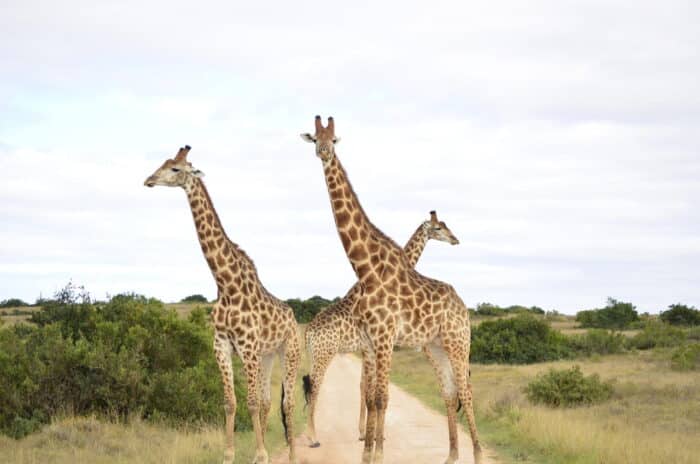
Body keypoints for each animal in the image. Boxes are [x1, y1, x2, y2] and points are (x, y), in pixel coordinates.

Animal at [144, 146, 300, 464]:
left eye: (176, 169)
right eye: (164, 163)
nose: (149, 180)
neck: (226, 285)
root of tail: (293, 316)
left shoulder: (248, 346)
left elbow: (250, 402)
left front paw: (261, 454)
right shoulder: (221, 344)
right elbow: (230, 401)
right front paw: (231, 454)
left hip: (288, 351)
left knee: (287, 403)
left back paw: (290, 455)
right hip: (267, 356)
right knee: (268, 401)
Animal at [300, 117, 482, 464]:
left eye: (334, 139)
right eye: (314, 138)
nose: (323, 151)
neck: (366, 267)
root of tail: (462, 304)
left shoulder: (383, 340)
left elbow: (380, 397)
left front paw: (376, 451)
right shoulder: (372, 343)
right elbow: (373, 396)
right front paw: (368, 451)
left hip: (457, 341)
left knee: (465, 390)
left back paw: (475, 455)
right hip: (432, 346)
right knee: (450, 392)